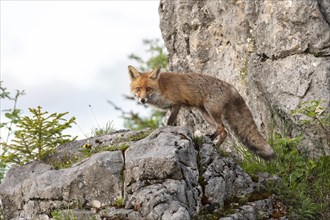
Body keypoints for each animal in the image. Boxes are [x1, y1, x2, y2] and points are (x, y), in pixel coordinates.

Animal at [127, 65, 274, 160]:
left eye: (148, 89)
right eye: (138, 88)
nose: (142, 100)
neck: (161, 87)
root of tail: (230, 86)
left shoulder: (177, 104)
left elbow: (169, 122)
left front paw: (167, 130)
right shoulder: (171, 108)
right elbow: (172, 123)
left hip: (211, 111)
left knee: (221, 127)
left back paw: (211, 137)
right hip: (205, 114)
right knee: (225, 131)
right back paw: (216, 147)